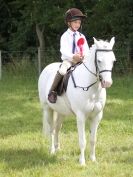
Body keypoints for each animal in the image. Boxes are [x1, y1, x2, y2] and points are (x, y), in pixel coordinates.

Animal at [38, 37, 116, 166]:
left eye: (113, 60)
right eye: (99, 61)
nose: (107, 83)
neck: (91, 88)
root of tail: (47, 68)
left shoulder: (97, 116)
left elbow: (93, 139)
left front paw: (93, 159)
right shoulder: (81, 116)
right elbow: (82, 140)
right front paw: (82, 162)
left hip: (61, 112)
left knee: (57, 128)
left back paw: (58, 148)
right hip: (47, 109)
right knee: (51, 130)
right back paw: (52, 151)